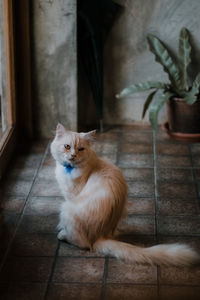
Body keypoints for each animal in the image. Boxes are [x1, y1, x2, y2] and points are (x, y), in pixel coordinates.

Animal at [50, 124, 199, 268]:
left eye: (81, 149)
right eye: (67, 146)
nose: (73, 155)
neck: (70, 168)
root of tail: (100, 236)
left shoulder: (71, 195)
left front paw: (62, 230)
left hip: (66, 208)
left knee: (84, 244)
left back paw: (62, 235)